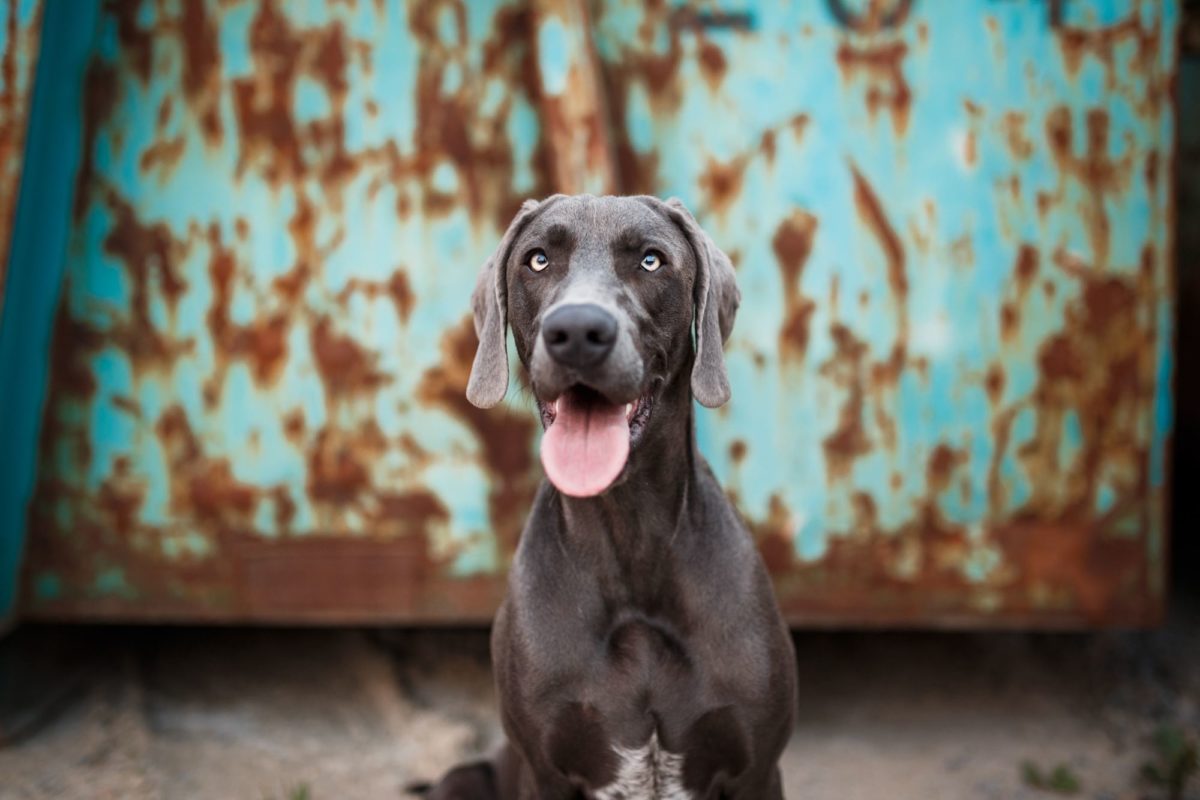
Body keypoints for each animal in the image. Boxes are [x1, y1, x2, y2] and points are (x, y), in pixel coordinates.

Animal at [422, 195, 796, 800]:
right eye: (537, 259)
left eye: (650, 260)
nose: (577, 330)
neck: (629, 537)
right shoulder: (544, 770)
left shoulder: (757, 770)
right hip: (461, 778)